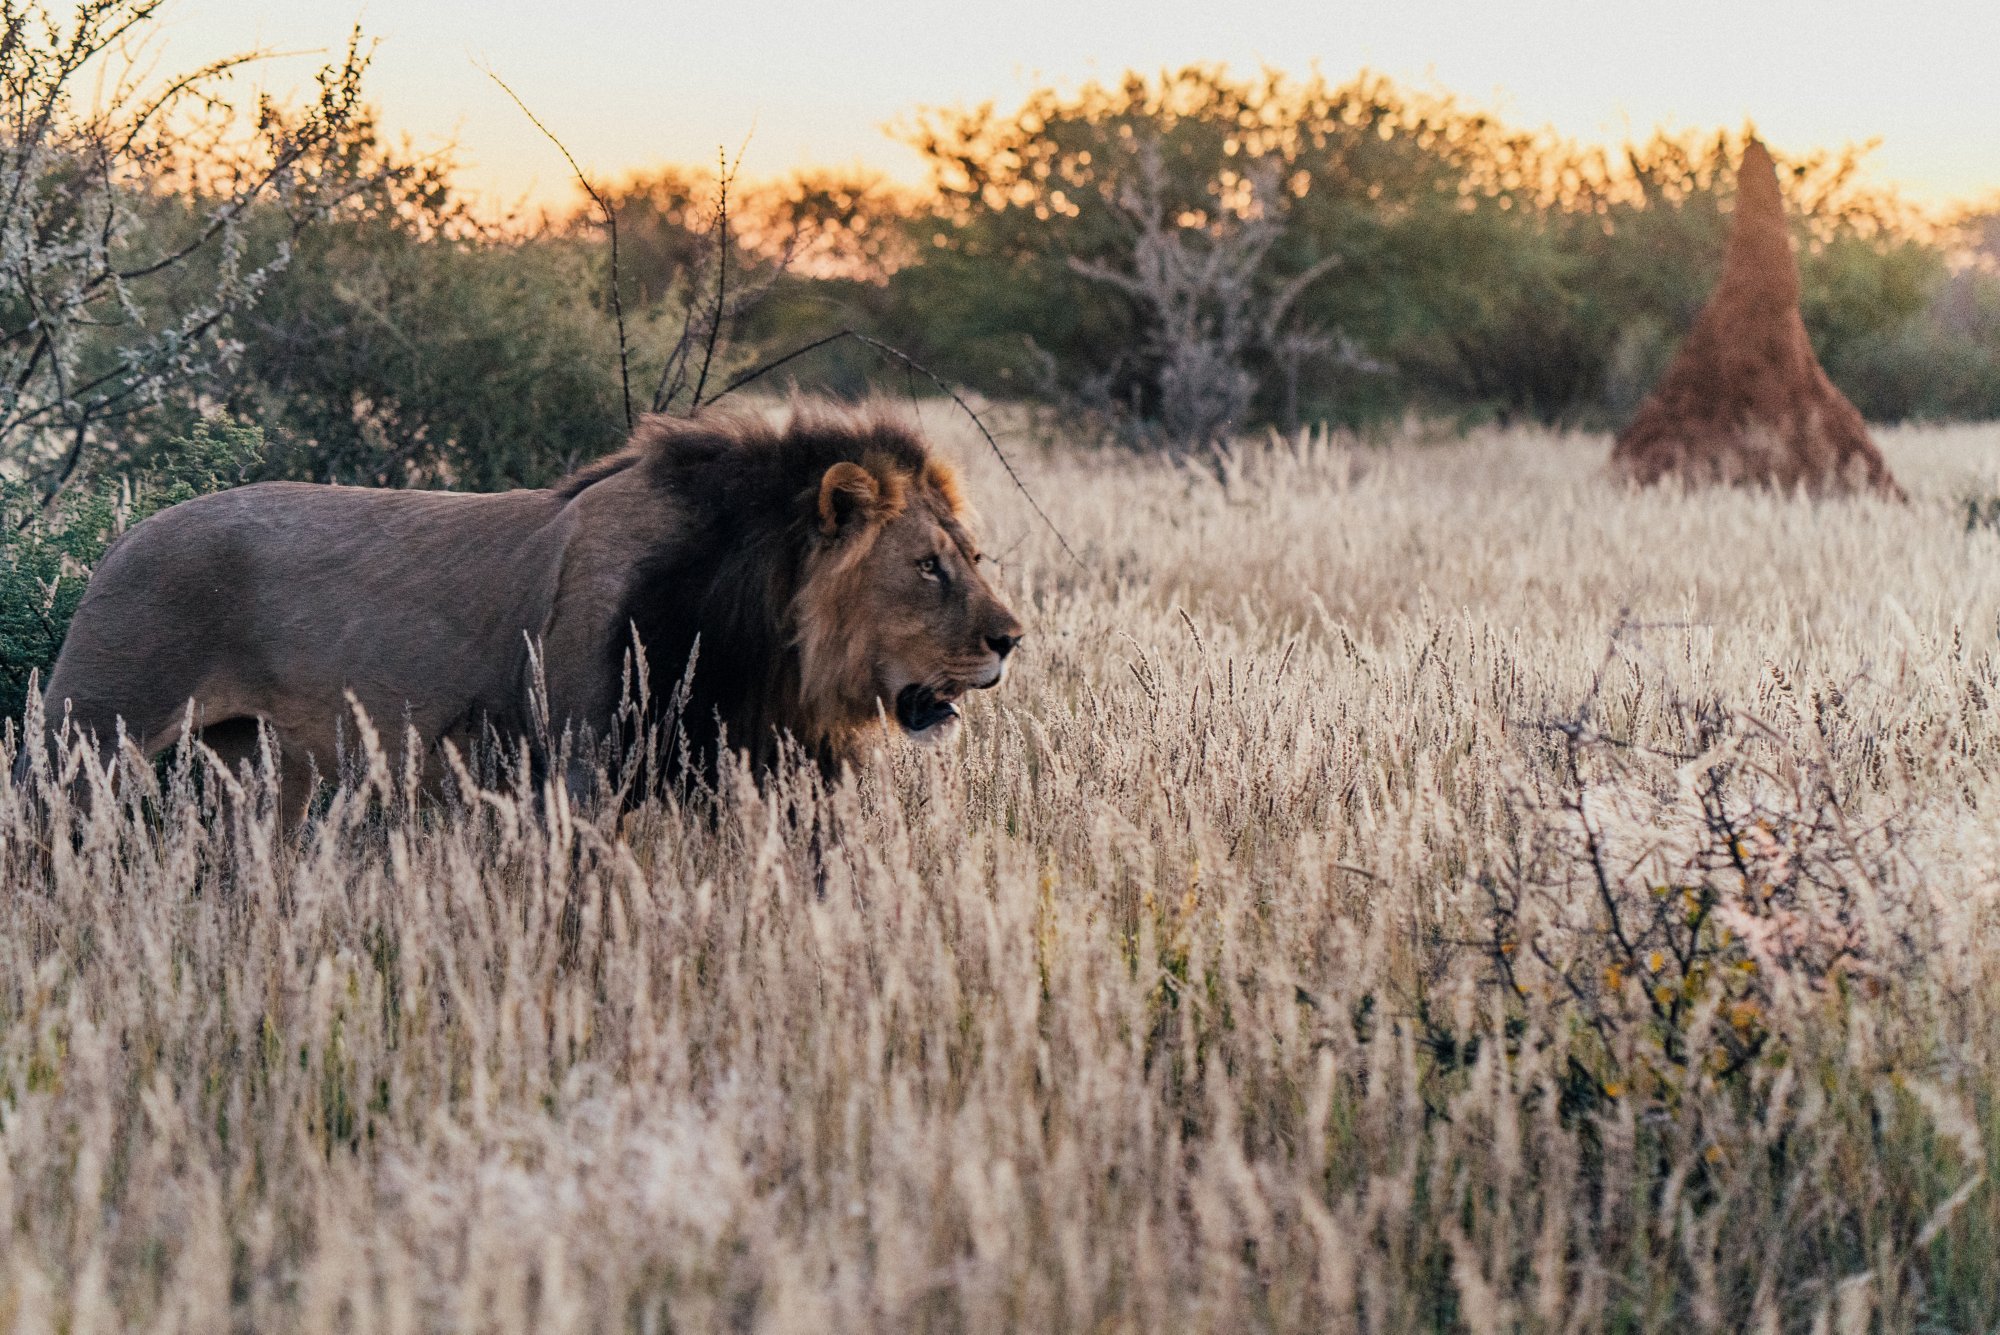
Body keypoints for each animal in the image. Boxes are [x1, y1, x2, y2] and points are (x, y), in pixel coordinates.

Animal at [31, 399, 1024, 815]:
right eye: (927, 568)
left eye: (972, 558)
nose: (1011, 639)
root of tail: (118, 540)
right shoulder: (581, 774)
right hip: (90, 739)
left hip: (263, 766)